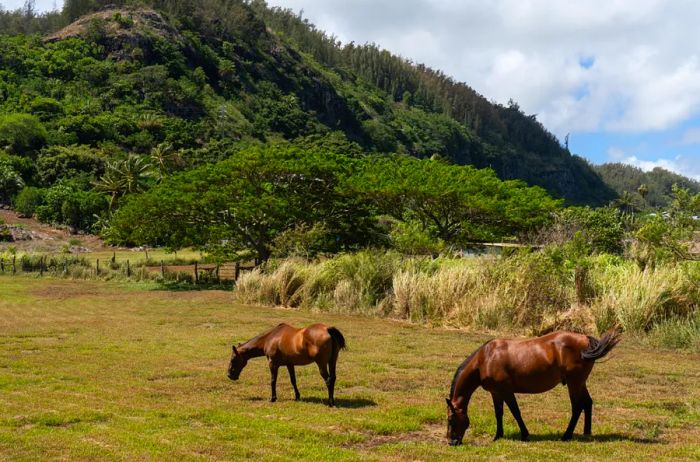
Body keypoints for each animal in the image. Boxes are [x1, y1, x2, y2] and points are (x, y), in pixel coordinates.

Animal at [446, 326, 620, 446]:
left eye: (451, 419)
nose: (451, 442)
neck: (486, 359)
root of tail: (585, 339)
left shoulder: (506, 391)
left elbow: (516, 412)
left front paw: (524, 434)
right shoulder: (496, 393)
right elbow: (499, 413)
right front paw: (498, 436)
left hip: (574, 383)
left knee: (577, 407)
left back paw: (566, 435)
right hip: (579, 383)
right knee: (587, 402)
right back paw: (586, 433)